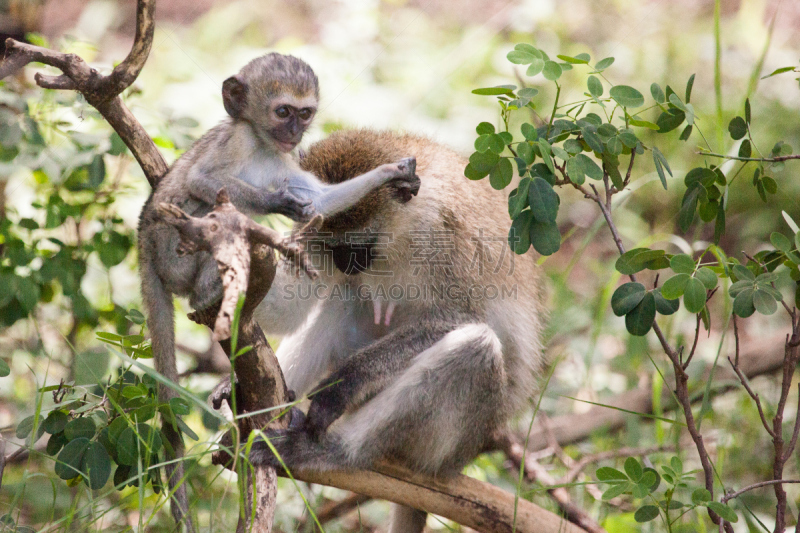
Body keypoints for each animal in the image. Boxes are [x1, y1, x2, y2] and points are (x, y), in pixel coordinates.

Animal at [138, 53, 422, 528]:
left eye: (304, 114)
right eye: (282, 111)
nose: (293, 133)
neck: (261, 145)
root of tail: (143, 243)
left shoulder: (286, 162)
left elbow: (321, 202)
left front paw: (390, 173)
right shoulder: (233, 142)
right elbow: (201, 179)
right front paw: (276, 203)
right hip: (171, 251)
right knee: (212, 209)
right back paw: (208, 288)